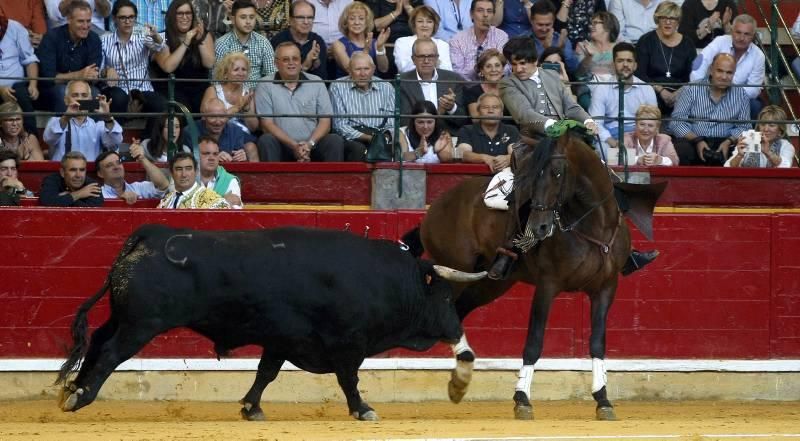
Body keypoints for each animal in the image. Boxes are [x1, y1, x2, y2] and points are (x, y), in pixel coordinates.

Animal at [56, 223, 484, 420]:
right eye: (447, 298)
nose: (458, 335)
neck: (388, 279)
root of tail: (151, 233)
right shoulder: (348, 344)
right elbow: (349, 380)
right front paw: (364, 409)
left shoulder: (283, 340)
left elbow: (266, 373)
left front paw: (250, 408)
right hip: (142, 324)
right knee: (110, 353)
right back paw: (80, 397)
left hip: (123, 317)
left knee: (97, 341)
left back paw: (71, 390)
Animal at [410, 130, 660, 420]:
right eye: (531, 179)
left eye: (558, 173)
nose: (539, 227)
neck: (593, 225)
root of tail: (435, 206)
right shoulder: (547, 286)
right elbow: (534, 341)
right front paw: (522, 400)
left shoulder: (606, 288)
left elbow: (598, 342)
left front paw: (603, 400)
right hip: (454, 270)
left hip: (490, 284)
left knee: (458, 312)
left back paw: (460, 379)